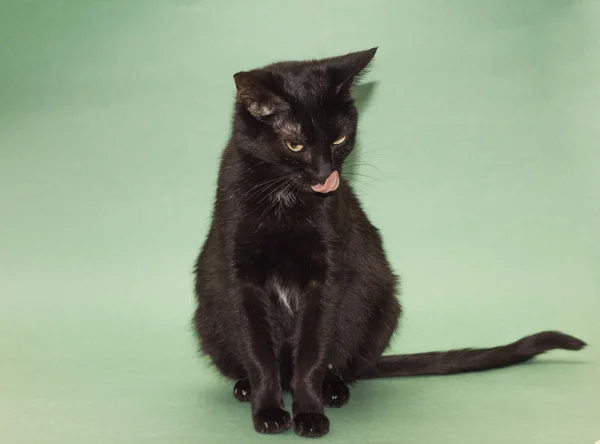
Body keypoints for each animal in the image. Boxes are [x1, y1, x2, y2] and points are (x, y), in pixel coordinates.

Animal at [193, 47, 584, 438]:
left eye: (339, 139)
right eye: (295, 144)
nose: (325, 175)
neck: (284, 199)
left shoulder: (328, 277)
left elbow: (313, 355)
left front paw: (310, 413)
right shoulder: (239, 277)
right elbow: (259, 354)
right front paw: (269, 411)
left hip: (383, 304)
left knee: (342, 365)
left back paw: (334, 389)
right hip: (208, 317)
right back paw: (245, 387)